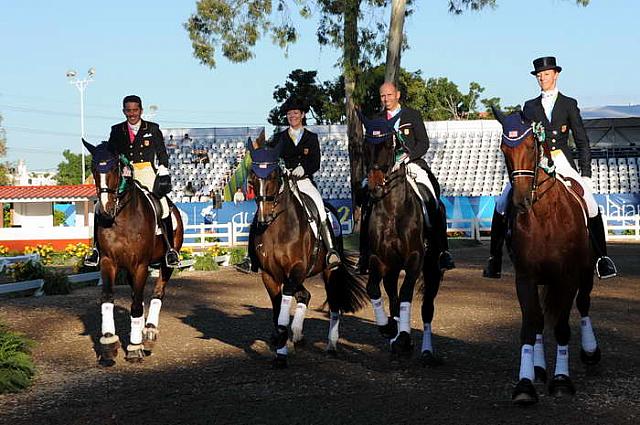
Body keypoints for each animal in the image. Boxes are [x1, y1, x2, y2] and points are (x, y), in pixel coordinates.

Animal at [82, 140, 182, 364]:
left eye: (114, 168)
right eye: (93, 169)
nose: (105, 209)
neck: (121, 217)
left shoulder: (140, 265)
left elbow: (136, 305)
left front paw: (135, 347)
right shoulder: (108, 261)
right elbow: (108, 299)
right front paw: (108, 343)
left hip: (166, 263)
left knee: (157, 292)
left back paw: (150, 331)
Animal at [246, 133, 364, 368]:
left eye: (273, 175)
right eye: (253, 177)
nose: (263, 218)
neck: (278, 228)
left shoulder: (296, 269)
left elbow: (283, 313)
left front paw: (281, 353)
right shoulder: (270, 275)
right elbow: (277, 312)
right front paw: (281, 342)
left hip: (329, 271)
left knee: (334, 304)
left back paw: (331, 345)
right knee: (305, 295)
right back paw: (298, 336)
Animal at [360, 113, 444, 364]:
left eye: (389, 145)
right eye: (364, 146)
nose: (375, 186)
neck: (392, 207)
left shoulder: (415, 258)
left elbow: (407, 293)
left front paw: (405, 336)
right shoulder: (379, 259)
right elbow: (373, 290)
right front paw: (388, 329)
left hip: (432, 269)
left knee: (427, 309)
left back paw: (426, 351)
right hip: (392, 268)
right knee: (392, 297)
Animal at [492, 109, 604, 404]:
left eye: (532, 147)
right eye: (503, 149)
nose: (520, 202)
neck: (544, 216)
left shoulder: (568, 277)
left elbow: (563, 326)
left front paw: (562, 380)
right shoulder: (526, 277)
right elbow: (531, 326)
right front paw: (525, 384)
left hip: (585, 274)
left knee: (584, 305)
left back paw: (590, 353)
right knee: (542, 319)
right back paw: (539, 369)